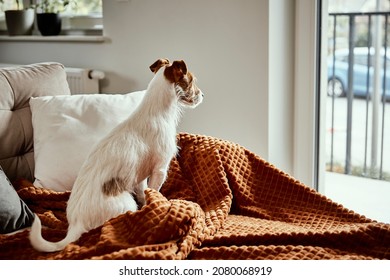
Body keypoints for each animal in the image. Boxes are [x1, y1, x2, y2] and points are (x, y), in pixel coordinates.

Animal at [29, 58, 204, 252]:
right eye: (192, 80)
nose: (203, 95)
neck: (156, 111)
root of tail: (76, 224)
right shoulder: (160, 169)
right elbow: (156, 192)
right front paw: (159, 205)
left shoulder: (140, 176)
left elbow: (144, 193)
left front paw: (147, 205)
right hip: (126, 203)